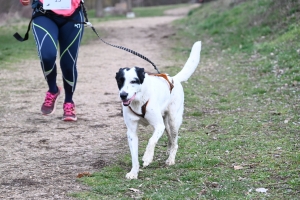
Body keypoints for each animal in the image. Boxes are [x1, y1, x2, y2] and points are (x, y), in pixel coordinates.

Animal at [115, 41, 202, 180]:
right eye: (120, 81)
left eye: (134, 81)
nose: (123, 95)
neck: (139, 101)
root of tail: (174, 79)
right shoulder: (131, 132)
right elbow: (134, 155)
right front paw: (134, 172)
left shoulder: (158, 126)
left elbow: (151, 141)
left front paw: (147, 157)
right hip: (165, 123)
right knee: (170, 139)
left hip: (173, 121)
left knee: (175, 141)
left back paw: (171, 159)